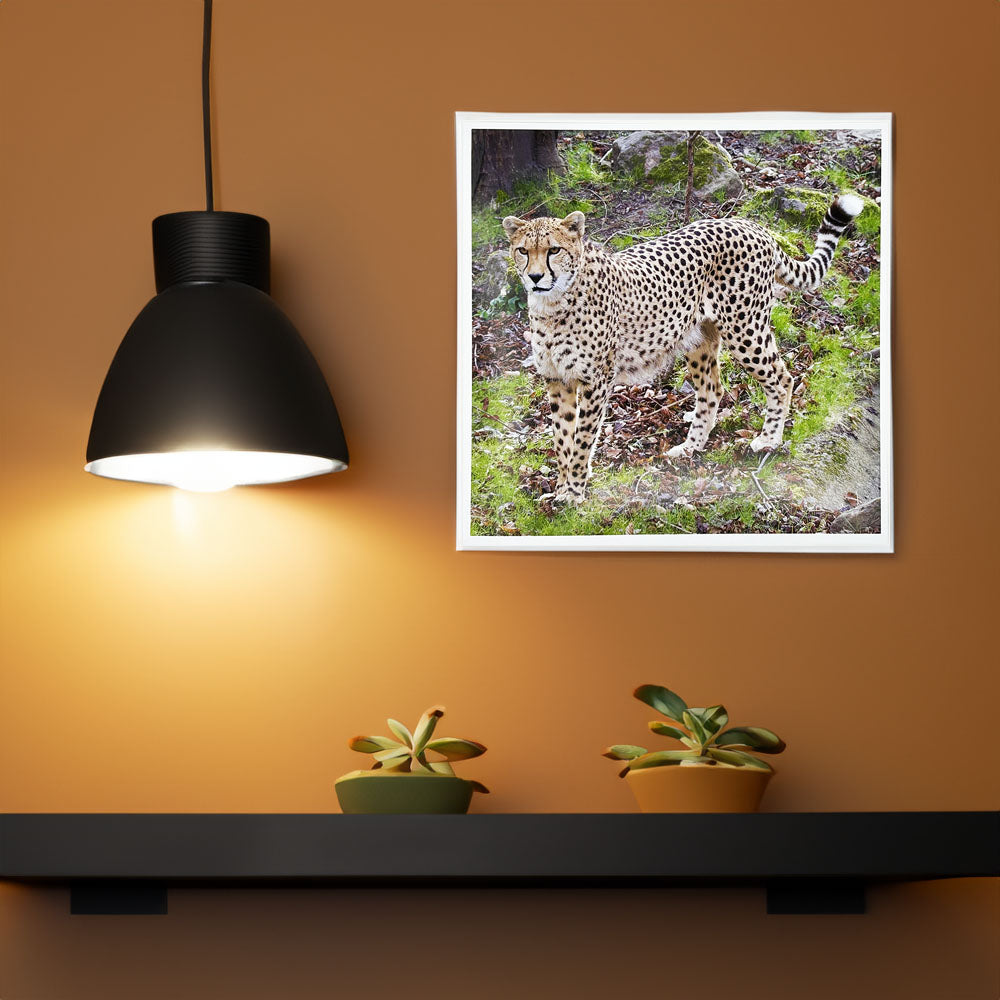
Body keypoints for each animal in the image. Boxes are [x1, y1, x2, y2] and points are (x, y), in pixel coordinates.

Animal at [502, 193, 864, 504]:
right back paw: (691, 447)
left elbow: (580, 441)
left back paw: (768, 440)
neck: (552, 304)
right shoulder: (557, 380)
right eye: (523, 251)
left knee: (781, 377)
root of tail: (748, 224)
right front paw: (561, 489)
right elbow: (562, 439)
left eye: (553, 250)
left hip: (745, 329)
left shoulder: (596, 381)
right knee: (713, 389)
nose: (535, 277)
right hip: (699, 338)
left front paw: (574, 493)